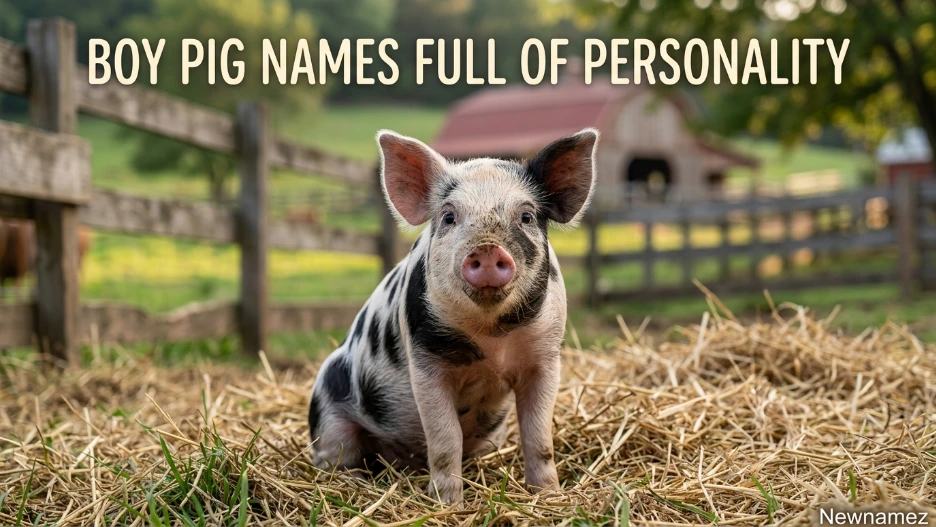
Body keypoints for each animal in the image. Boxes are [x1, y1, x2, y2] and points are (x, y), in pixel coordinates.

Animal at [307, 127, 599, 504]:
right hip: (328, 412)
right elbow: (446, 440)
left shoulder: (545, 359)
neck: (492, 340)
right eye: (449, 217)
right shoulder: (427, 363)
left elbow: (539, 438)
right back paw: (353, 482)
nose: (487, 248)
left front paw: (549, 496)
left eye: (527, 216)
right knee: (337, 456)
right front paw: (448, 504)